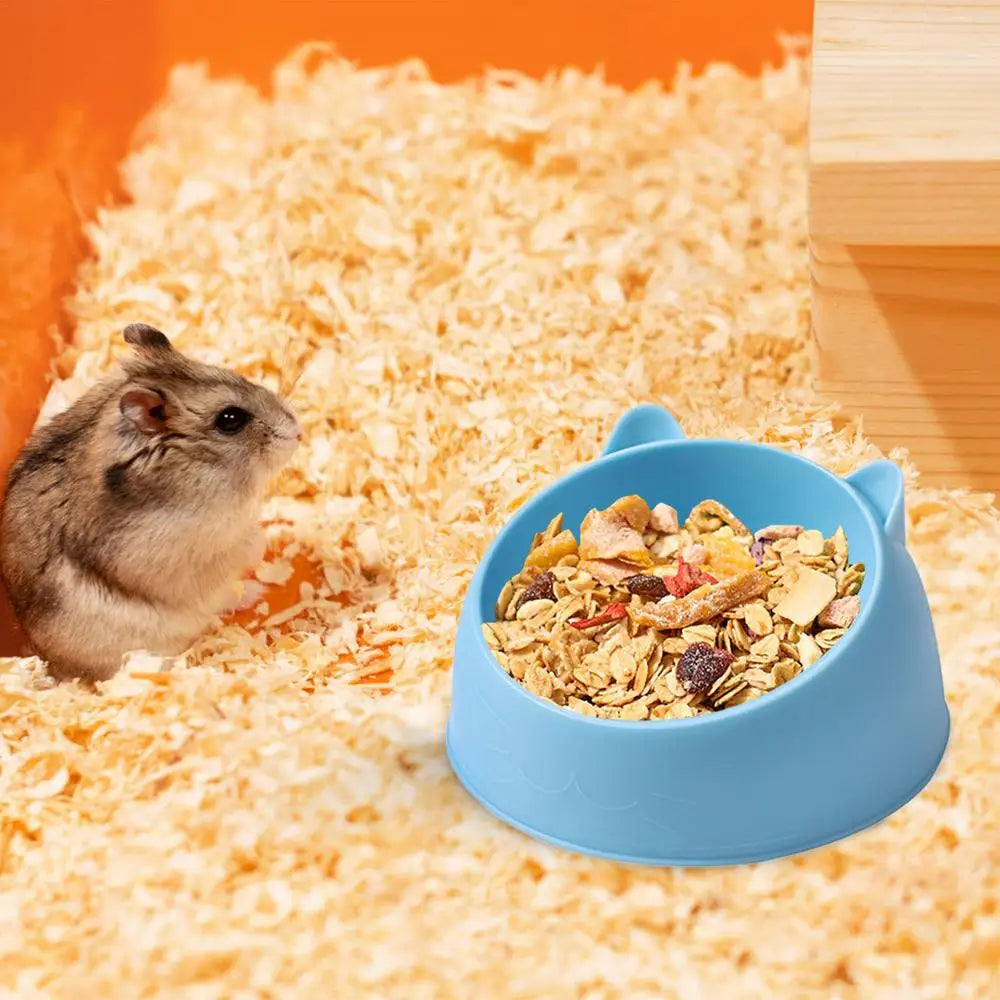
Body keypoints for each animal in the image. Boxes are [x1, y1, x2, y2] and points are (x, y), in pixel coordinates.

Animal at [0, 323, 302, 682]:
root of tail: (50, 665)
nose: (298, 431)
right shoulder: (189, 551)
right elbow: (238, 547)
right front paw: (262, 542)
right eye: (230, 419)